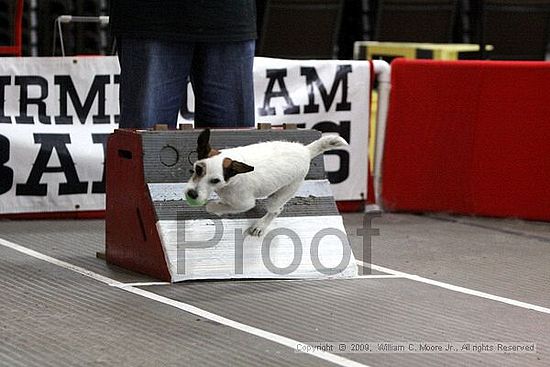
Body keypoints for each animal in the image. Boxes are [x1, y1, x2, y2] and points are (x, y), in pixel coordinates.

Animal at [187, 129, 350, 237]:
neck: (231, 179)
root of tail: (306, 151)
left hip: (281, 195)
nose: (191, 194)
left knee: (276, 210)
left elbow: (216, 206)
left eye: (215, 180)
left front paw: (215, 207)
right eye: (198, 169)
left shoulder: (244, 203)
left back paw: (260, 226)